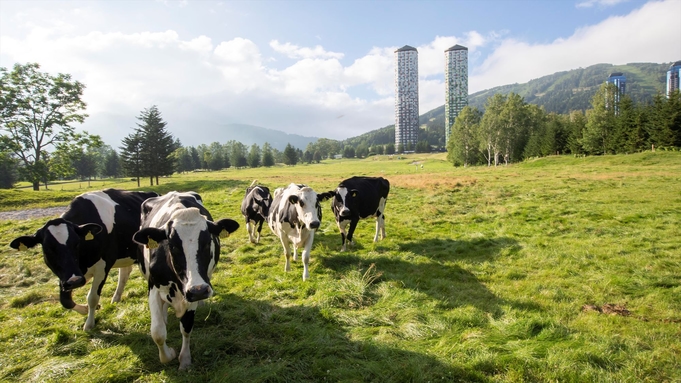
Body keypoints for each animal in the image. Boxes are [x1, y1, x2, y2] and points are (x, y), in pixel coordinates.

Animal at [9, 189, 159, 330]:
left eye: (76, 243)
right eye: (48, 249)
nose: (75, 281)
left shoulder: (102, 267)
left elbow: (92, 297)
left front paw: (89, 324)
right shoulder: (65, 275)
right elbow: (65, 301)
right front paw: (85, 309)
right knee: (125, 272)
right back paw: (116, 298)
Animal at [132, 192, 239, 372]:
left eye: (207, 242)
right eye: (173, 246)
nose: (200, 291)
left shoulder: (192, 292)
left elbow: (187, 327)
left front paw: (185, 360)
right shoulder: (154, 288)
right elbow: (158, 332)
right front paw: (169, 354)